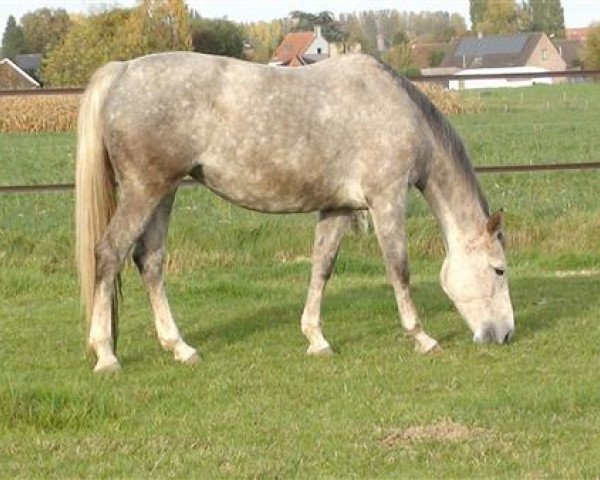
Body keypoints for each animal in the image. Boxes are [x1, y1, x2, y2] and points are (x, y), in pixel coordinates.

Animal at [76, 53, 516, 376]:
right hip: (143, 192)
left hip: (162, 194)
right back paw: (106, 355)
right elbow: (399, 270)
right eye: (499, 270)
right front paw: (422, 338)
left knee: (149, 262)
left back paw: (180, 347)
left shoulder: (339, 207)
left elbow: (322, 267)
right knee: (109, 254)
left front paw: (316, 339)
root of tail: (123, 71)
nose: (506, 335)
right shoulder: (387, 199)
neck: (396, 109)